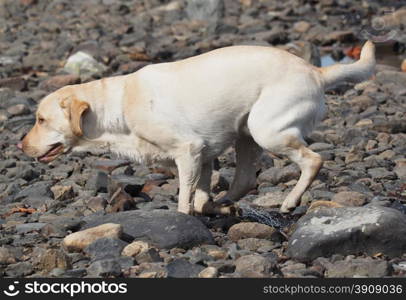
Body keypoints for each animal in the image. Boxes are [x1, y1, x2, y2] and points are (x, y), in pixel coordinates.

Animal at [18, 42, 374, 214]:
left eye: (41, 119)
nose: (20, 146)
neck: (117, 106)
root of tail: (315, 71)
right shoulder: (204, 155)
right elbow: (201, 192)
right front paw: (207, 205)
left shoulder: (188, 151)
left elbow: (184, 196)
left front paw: (183, 217)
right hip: (246, 133)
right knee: (244, 180)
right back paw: (223, 204)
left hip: (266, 129)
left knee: (313, 160)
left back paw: (289, 202)